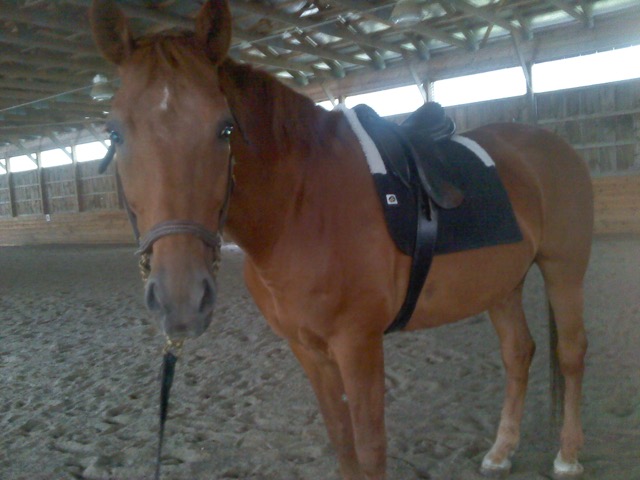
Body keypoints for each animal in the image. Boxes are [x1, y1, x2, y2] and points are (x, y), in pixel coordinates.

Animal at [90, 1, 593, 478]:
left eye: (225, 128)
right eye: (114, 132)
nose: (180, 299)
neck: (301, 206)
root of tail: (552, 146)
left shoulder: (357, 344)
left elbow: (370, 448)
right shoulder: (309, 350)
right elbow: (341, 440)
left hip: (564, 270)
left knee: (570, 355)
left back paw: (568, 456)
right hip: (502, 285)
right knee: (518, 354)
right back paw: (501, 451)